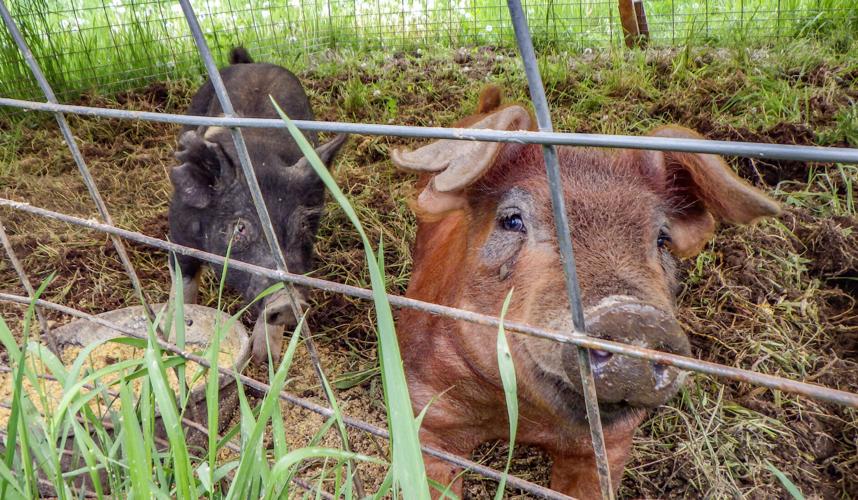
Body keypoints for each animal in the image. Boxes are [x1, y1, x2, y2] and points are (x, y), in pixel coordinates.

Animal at [168, 47, 347, 364]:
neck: (258, 157)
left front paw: (266, 358)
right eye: (240, 228)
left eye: (303, 227)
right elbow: (183, 284)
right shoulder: (179, 232)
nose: (288, 302)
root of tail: (255, 63)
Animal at [391, 86, 780, 498]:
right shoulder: (425, 410)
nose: (631, 316)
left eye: (661, 239)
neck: (523, 418)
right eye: (512, 220)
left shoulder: (611, 443)